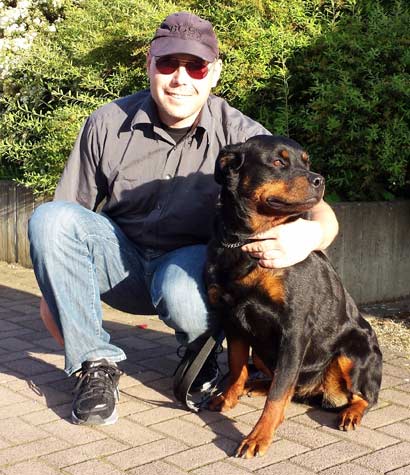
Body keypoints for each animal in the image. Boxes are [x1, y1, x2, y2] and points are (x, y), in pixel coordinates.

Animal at [206, 135, 382, 459]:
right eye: (278, 162)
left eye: (306, 161)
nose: (319, 179)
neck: (247, 243)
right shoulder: (232, 318)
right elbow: (237, 367)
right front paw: (227, 398)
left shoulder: (294, 329)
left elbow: (278, 396)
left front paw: (258, 437)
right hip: (263, 352)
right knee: (284, 381)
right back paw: (258, 385)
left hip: (354, 350)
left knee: (364, 396)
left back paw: (351, 413)